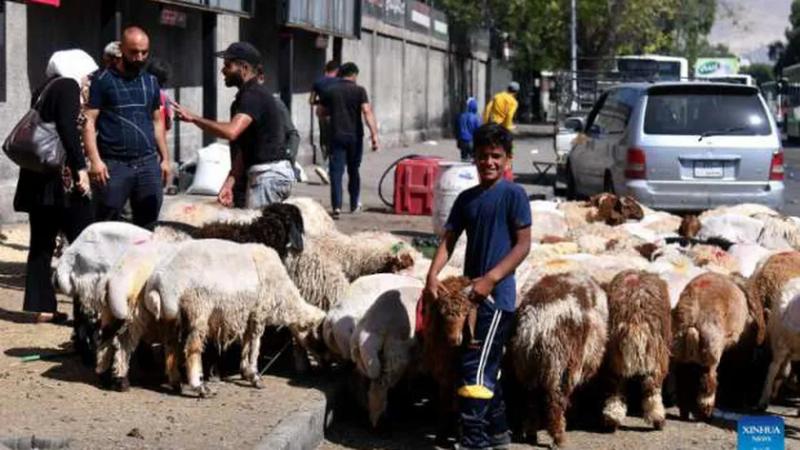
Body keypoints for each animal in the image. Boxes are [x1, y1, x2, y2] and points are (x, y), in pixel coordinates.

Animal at [512, 270, 608, 446]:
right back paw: (559, 438)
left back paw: (531, 434)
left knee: (531, 400)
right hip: (560, 363)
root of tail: (537, 321)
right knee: (554, 400)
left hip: (528, 364)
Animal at [604, 268, 672, 430]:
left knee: (616, 385)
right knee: (651, 387)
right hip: (656, 353)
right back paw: (658, 418)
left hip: (615, 353)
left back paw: (612, 418)